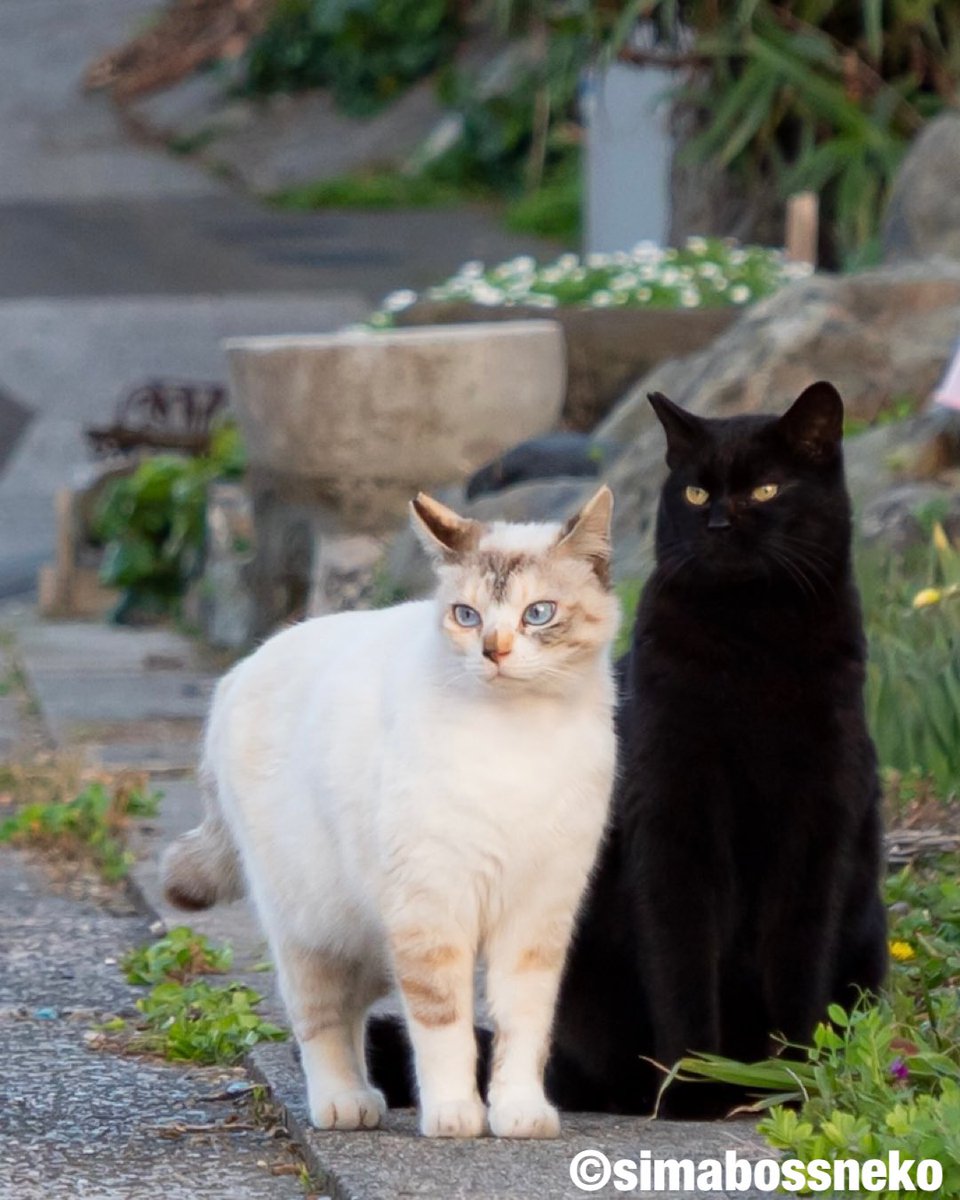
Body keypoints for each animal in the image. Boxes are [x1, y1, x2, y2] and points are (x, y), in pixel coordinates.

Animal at [160, 484, 619, 1132]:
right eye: (467, 615)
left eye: (538, 613)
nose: (494, 650)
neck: (519, 735)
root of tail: (238, 672)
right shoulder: (432, 910)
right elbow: (443, 1023)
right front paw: (453, 1113)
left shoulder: (536, 917)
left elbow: (523, 1025)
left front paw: (519, 1112)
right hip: (313, 924)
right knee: (323, 1018)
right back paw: (343, 1102)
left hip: (370, 937)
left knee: (356, 1011)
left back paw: (368, 1096)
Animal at [544, 381, 888, 1113]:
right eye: (697, 493)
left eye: (765, 490)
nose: (721, 524)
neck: (751, 639)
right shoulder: (674, 819)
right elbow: (682, 963)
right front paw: (696, 1088)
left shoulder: (817, 829)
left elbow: (797, 963)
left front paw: (786, 1083)